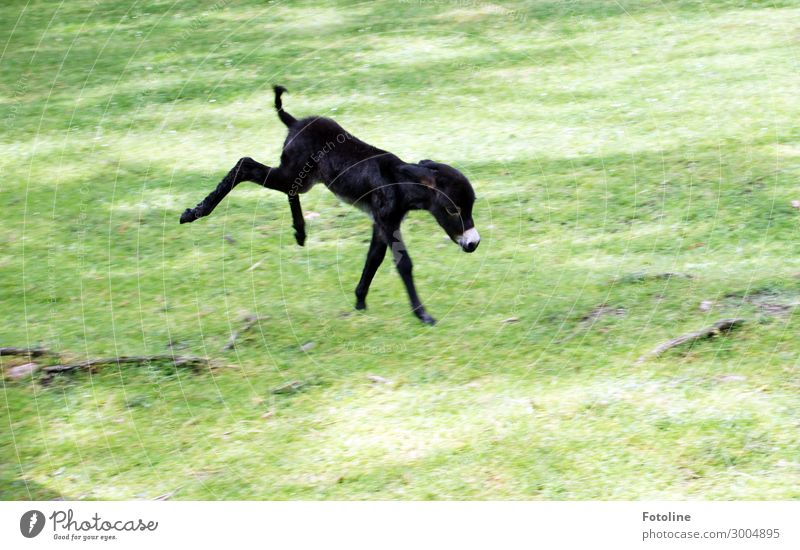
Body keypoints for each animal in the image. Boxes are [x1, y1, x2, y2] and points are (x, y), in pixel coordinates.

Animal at [180, 84, 482, 326]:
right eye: (453, 209)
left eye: (470, 207)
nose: (473, 243)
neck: (398, 182)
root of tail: (294, 122)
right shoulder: (387, 221)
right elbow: (403, 263)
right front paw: (423, 315)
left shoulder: (381, 223)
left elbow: (374, 259)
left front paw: (360, 301)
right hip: (293, 172)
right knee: (246, 164)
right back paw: (194, 212)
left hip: (302, 177)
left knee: (288, 189)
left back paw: (300, 231)